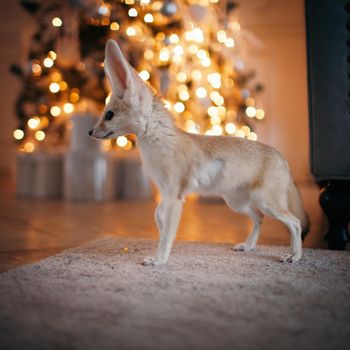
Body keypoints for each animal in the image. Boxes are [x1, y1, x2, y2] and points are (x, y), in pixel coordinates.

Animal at [90, 40, 308, 266]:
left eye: (109, 115)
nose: (90, 132)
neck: (161, 140)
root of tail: (282, 158)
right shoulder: (166, 194)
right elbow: (158, 218)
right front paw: (160, 238)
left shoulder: (175, 197)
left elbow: (167, 234)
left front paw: (159, 260)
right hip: (238, 202)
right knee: (260, 218)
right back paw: (249, 246)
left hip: (265, 202)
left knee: (295, 222)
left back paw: (295, 255)